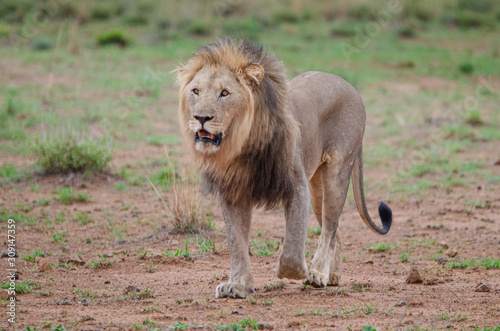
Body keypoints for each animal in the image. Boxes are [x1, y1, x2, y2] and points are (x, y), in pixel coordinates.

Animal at [178, 37, 392, 300]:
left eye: (224, 93)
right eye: (195, 91)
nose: (201, 118)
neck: (242, 144)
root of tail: (349, 85)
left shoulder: (297, 186)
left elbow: (292, 245)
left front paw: (295, 271)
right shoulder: (233, 193)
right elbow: (236, 243)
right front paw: (237, 285)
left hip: (336, 173)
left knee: (329, 226)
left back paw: (318, 273)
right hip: (316, 187)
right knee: (335, 231)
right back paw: (332, 275)